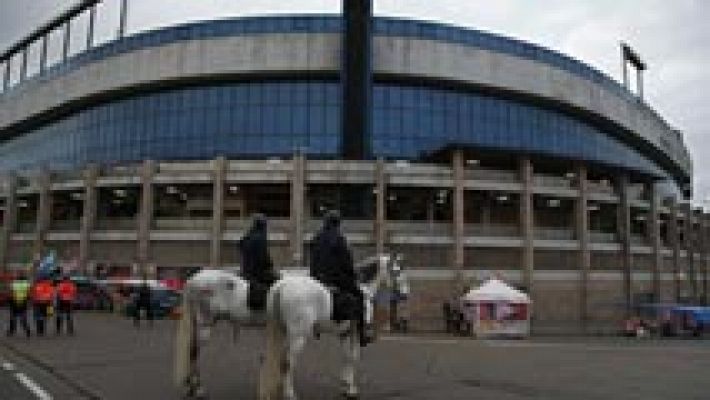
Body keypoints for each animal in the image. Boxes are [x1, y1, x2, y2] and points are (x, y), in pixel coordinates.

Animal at [258, 255, 408, 398]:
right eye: (397, 271)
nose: (405, 295)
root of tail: (282, 286)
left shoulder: (344, 333)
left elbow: (346, 356)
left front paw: (345, 386)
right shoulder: (355, 333)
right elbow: (353, 357)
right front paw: (351, 389)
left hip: (282, 332)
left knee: (279, 360)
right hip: (298, 337)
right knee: (288, 362)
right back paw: (290, 394)